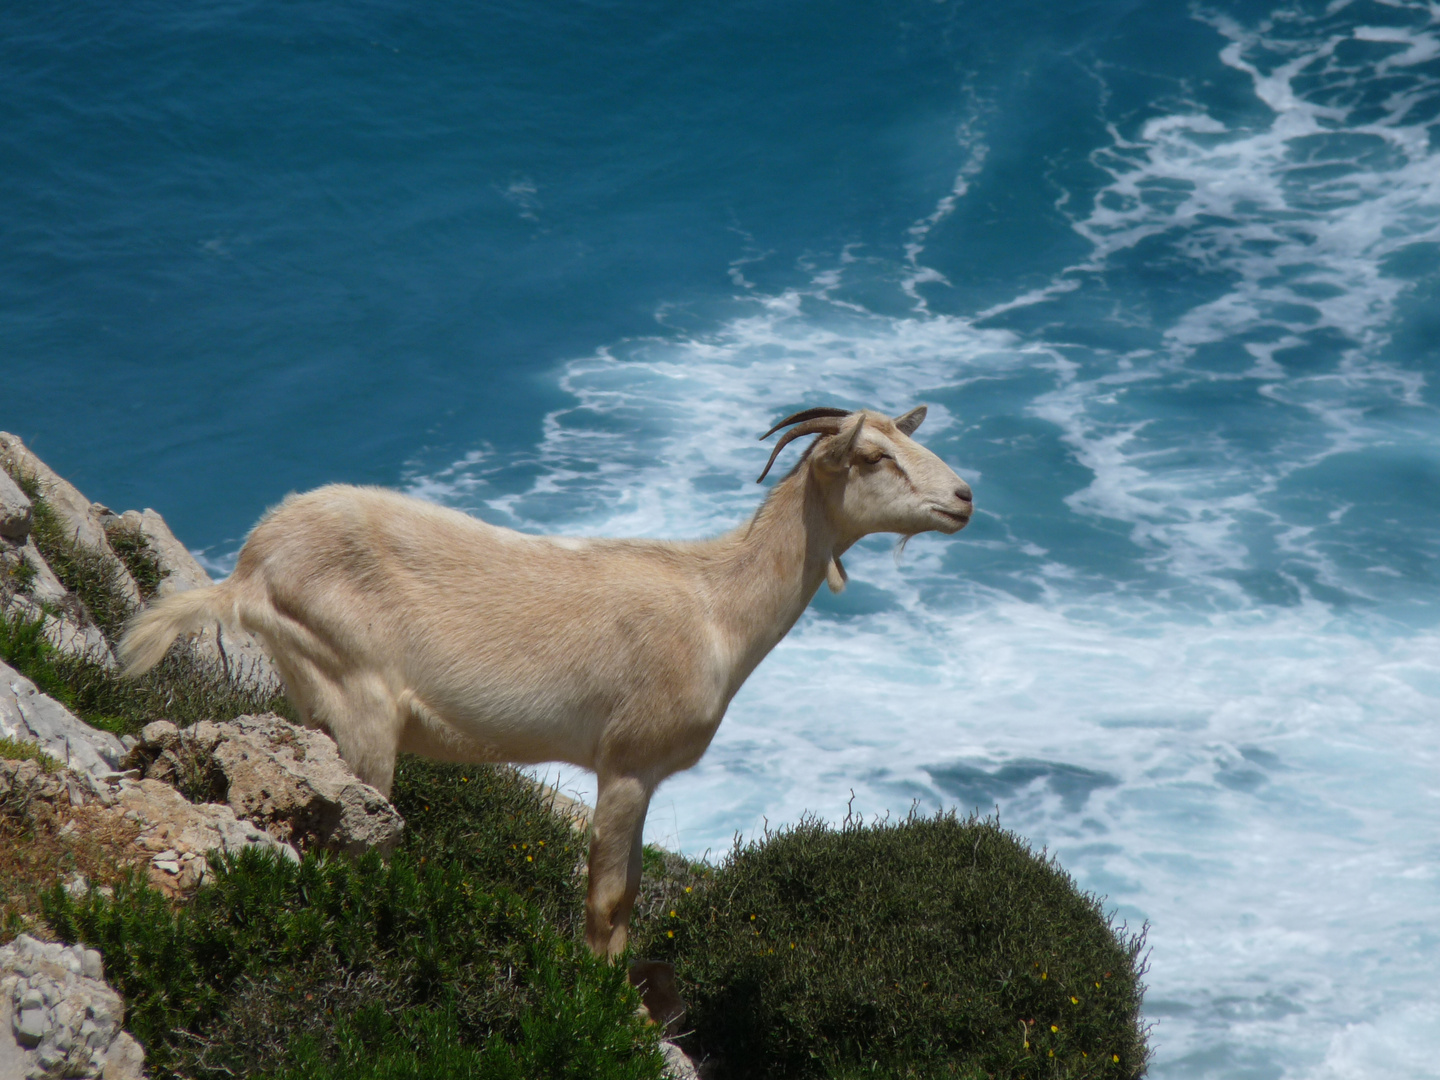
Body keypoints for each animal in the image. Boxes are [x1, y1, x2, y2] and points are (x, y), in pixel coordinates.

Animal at [118, 406, 973, 956]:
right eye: (873, 456)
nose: (964, 497)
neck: (716, 608)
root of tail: (251, 565)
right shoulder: (625, 763)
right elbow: (607, 899)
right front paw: (603, 1002)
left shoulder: (645, 778)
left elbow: (629, 900)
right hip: (358, 694)